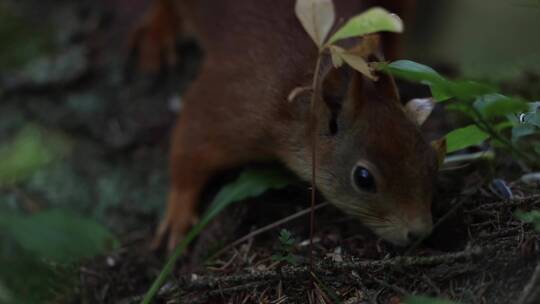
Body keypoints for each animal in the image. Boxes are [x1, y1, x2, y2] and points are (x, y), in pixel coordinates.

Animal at [133, 0, 446, 249]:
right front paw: (178, 212)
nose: (419, 233)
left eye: (432, 161)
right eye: (363, 178)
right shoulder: (240, 102)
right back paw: (158, 32)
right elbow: (192, 142)